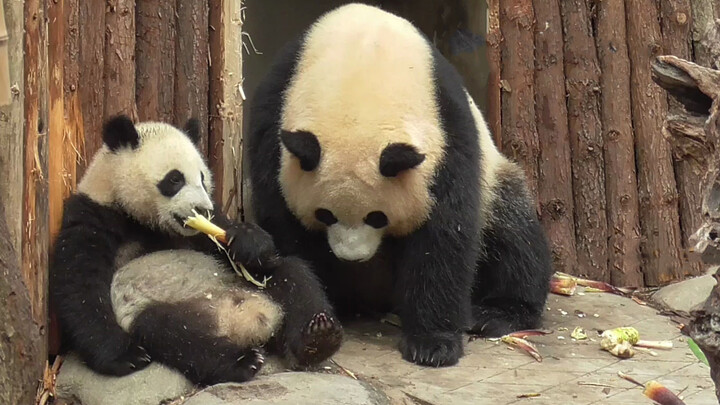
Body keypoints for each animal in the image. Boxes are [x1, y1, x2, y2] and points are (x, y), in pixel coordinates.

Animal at [50, 114, 344, 386]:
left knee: (292, 274)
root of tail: (248, 320)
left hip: (251, 284)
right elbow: (79, 290)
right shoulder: (93, 217)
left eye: (202, 179)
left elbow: (232, 238)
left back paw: (318, 336)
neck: (140, 218)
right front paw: (125, 355)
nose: (202, 209)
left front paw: (246, 241)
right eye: (174, 179)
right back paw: (243, 360)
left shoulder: (203, 230)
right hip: (157, 312)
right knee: (175, 336)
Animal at [245, 3, 556, 368]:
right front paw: (319, 310)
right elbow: (287, 232)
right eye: (325, 214)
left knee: (515, 236)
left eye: (377, 217)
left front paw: (432, 344)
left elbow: (444, 235)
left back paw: (495, 313)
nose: (352, 258)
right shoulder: (274, 115)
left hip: (495, 183)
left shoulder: (447, 132)